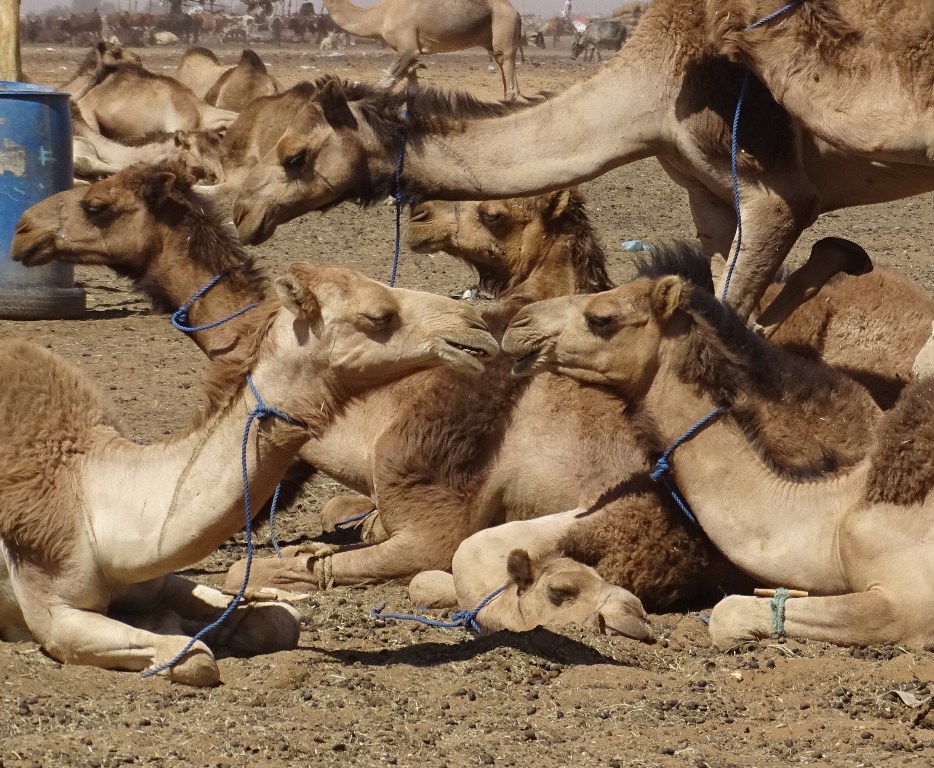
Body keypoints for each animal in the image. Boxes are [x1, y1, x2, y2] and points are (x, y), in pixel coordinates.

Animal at [322, 0, 528, 100]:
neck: (379, 15)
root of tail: (516, 11)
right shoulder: (411, 56)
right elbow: (413, 89)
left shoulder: (408, 48)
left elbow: (383, 84)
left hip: (504, 25)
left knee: (507, 69)